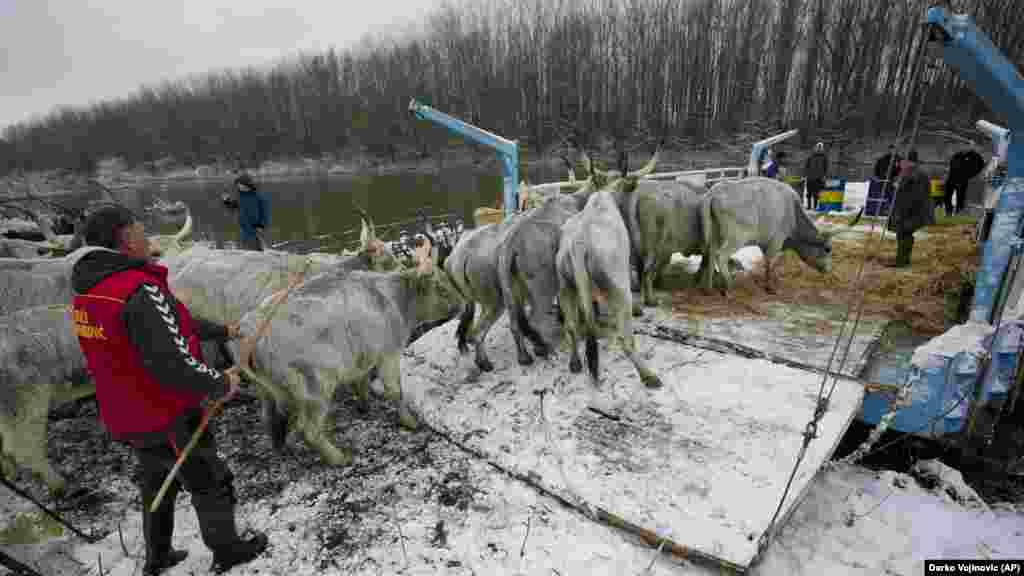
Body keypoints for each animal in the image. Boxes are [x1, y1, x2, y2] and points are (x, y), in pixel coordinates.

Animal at [237, 235, 462, 463]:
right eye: (441, 289)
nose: (462, 305)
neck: (394, 297)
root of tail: (249, 329)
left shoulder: (361, 358)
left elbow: (361, 382)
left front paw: (364, 406)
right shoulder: (388, 354)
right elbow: (395, 391)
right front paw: (410, 422)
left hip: (268, 391)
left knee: (270, 418)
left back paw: (281, 448)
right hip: (316, 388)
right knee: (308, 430)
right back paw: (338, 458)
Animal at [561, 175, 663, 387]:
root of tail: (579, 244)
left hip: (566, 285)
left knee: (572, 326)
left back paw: (575, 363)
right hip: (618, 286)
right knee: (625, 338)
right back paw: (648, 375)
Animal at [700, 175, 860, 291]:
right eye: (827, 249)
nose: (828, 270)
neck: (793, 213)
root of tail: (717, 190)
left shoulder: (764, 244)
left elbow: (768, 262)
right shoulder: (776, 241)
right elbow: (770, 262)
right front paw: (769, 286)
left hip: (715, 234)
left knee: (711, 254)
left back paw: (709, 287)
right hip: (736, 238)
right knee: (721, 256)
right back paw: (729, 286)